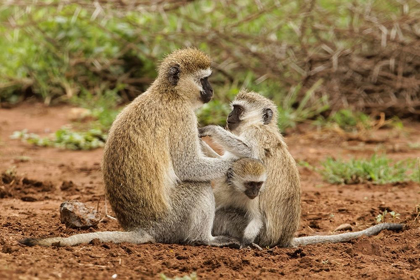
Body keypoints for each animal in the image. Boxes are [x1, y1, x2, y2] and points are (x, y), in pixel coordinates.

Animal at [201, 90, 404, 247]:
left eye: (238, 109)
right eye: (233, 108)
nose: (229, 117)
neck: (261, 125)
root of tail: (284, 239)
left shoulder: (256, 134)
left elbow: (247, 154)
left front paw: (210, 129)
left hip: (260, 234)